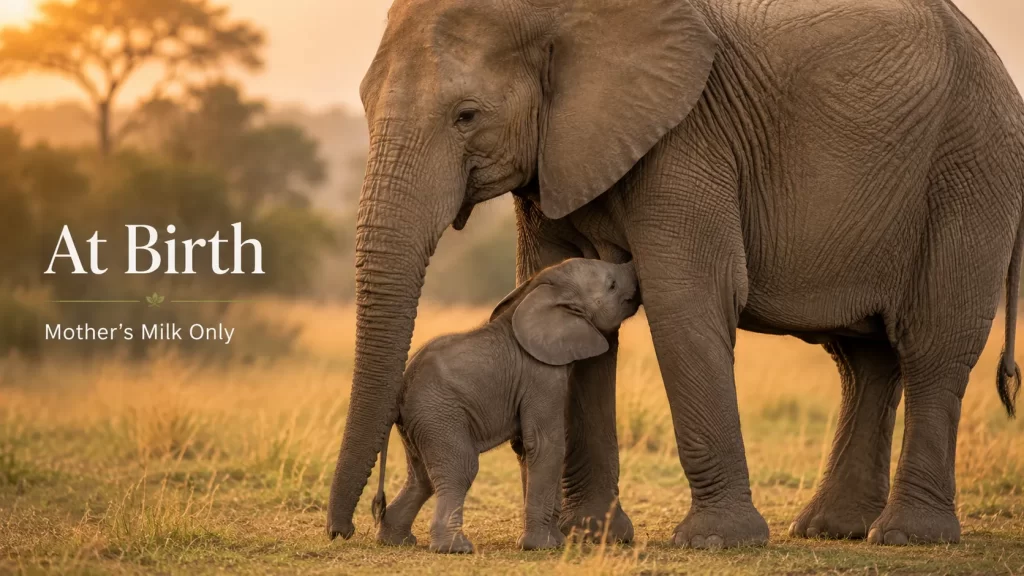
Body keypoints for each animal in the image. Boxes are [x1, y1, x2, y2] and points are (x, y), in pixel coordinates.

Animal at [370, 258, 640, 553]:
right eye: (611, 285)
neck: (542, 291)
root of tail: (400, 393)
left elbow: (526, 447)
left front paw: (555, 541)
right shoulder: (541, 374)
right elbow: (546, 444)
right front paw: (542, 546)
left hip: (420, 423)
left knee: (422, 478)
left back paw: (395, 540)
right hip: (438, 414)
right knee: (460, 468)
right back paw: (456, 548)